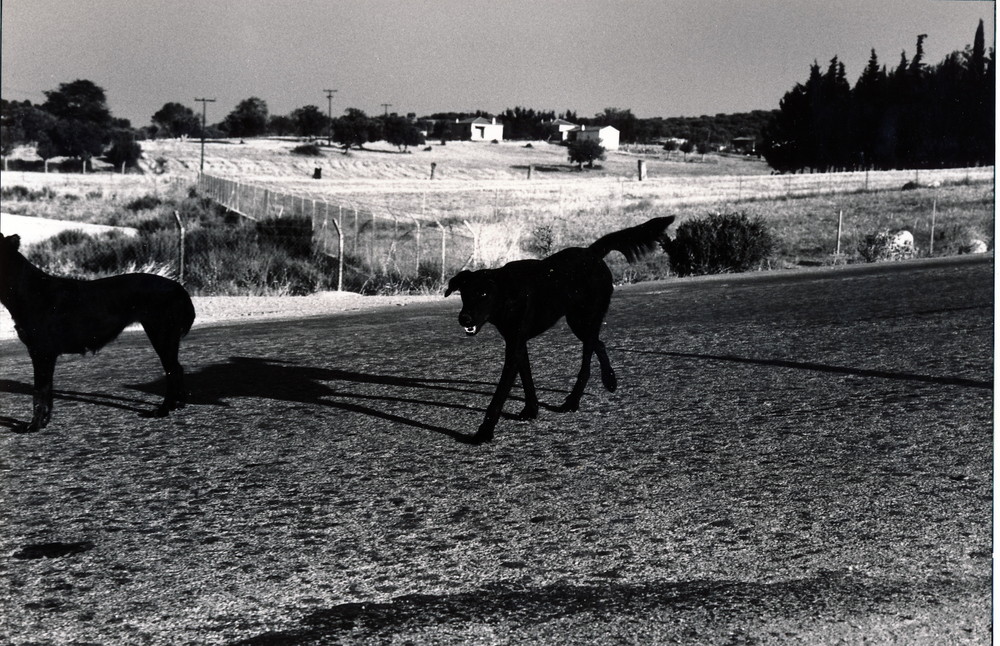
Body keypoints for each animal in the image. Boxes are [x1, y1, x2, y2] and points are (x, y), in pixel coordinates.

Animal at [444, 218, 672, 446]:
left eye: (483, 294)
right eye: (464, 293)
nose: (464, 318)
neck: (507, 295)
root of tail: (591, 252)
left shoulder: (514, 345)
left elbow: (500, 393)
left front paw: (484, 432)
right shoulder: (516, 342)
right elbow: (526, 378)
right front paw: (531, 410)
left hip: (586, 318)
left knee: (587, 361)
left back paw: (574, 401)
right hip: (578, 322)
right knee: (600, 343)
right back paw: (609, 379)